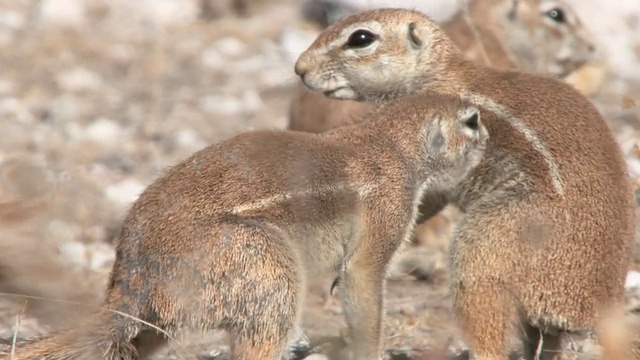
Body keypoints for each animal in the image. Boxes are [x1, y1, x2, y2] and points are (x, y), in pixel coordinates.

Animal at [3, 93, 490, 360]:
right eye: (471, 121)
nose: (488, 136)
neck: (391, 138)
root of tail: (132, 280)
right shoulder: (388, 205)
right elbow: (363, 281)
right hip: (264, 264)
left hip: (159, 325)